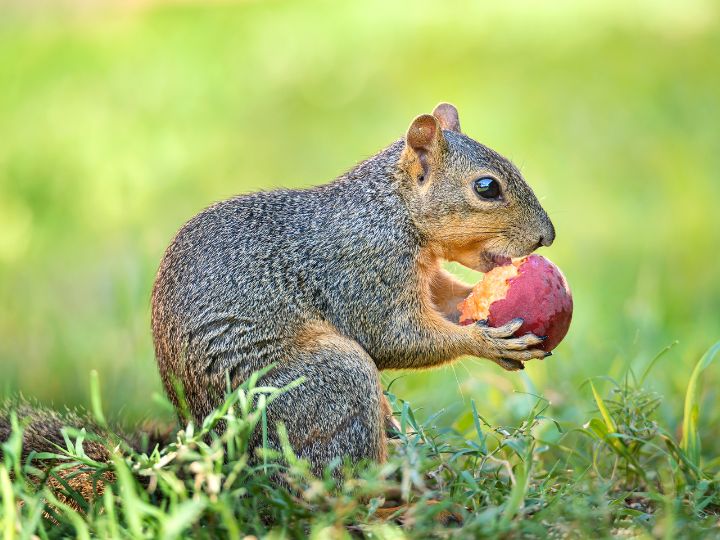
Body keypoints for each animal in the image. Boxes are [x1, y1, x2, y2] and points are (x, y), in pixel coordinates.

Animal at [0, 101, 556, 486]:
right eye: (486, 187)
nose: (547, 237)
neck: (390, 211)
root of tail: (220, 455)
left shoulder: (423, 276)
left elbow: (446, 302)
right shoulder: (360, 270)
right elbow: (392, 337)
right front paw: (486, 341)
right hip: (326, 383)